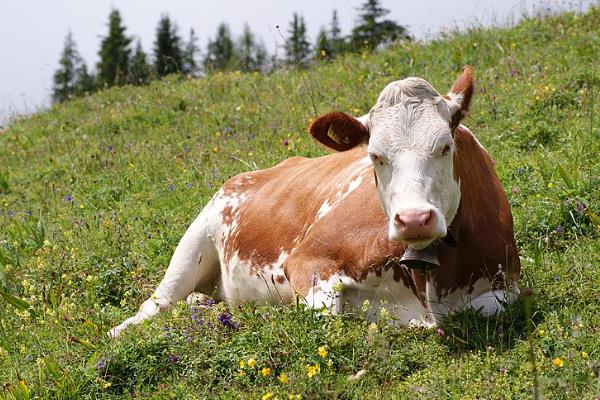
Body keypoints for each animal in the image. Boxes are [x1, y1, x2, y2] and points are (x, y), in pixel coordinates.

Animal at [111, 66, 520, 338]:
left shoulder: (508, 284)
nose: (414, 219)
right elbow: (327, 317)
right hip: (195, 240)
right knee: (156, 303)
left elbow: (492, 307)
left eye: (445, 146)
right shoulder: (308, 260)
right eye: (375, 156)